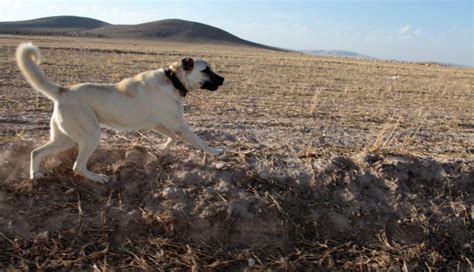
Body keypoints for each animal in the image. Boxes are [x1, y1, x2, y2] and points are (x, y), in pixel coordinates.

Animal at [17, 42, 225, 183]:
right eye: (206, 70)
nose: (223, 79)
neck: (173, 80)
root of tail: (63, 90)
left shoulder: (159, 124)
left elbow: (172, 138)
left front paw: (161, 149)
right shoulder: (179, 125)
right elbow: (199, 141)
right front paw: (215, 152)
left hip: (64, 138)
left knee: (36, 152)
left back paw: (35, 175)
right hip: (90, 135)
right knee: (77, 166)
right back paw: (98, 178)